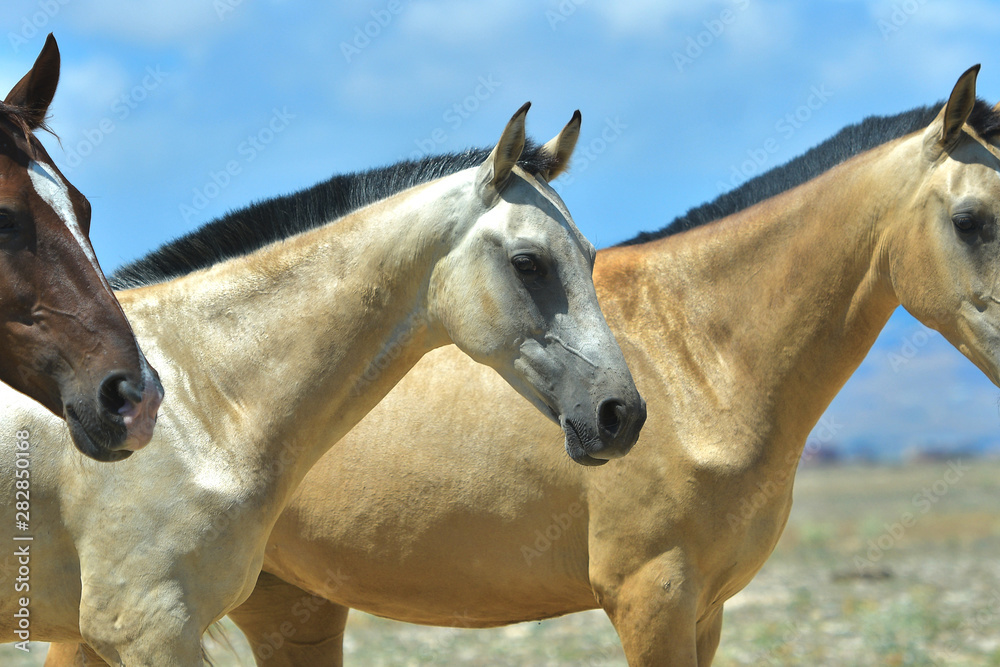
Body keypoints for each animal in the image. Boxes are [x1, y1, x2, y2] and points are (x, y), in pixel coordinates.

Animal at [109, 65, 1000, 666]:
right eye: (971, 218)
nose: (616, 419)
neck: (697, 357)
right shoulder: (654, 599)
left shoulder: (705, 610)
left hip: (289, 610)